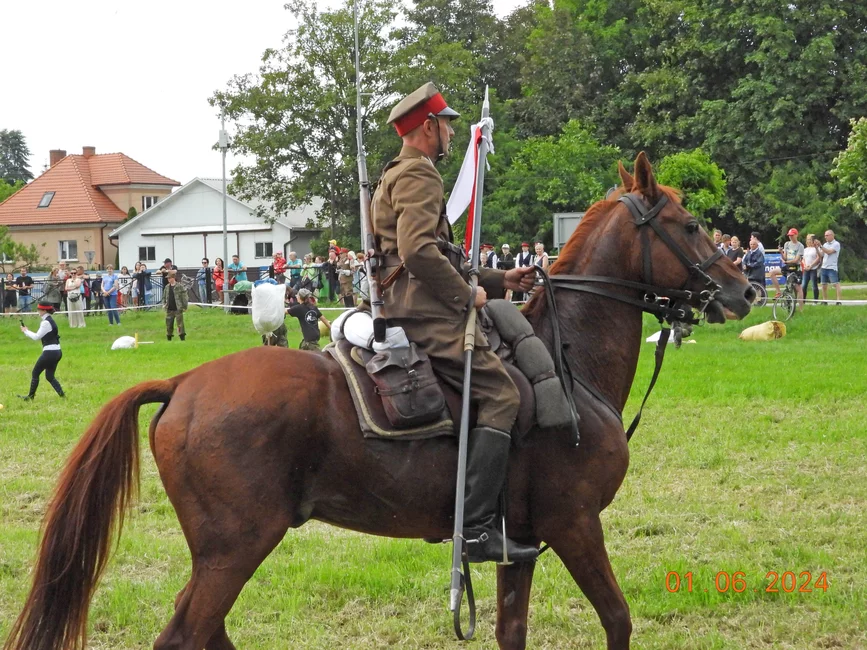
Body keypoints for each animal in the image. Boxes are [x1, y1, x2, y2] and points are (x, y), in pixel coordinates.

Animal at [4, 153, 754, 650]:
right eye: (689, 224)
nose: (742, 290)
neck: (568, 357)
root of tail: (185, 382)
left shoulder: (522, 543)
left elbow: (513, 631)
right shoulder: (573, 525)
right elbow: (617, 618)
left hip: (222, 553)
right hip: (235, 548)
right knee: (187, 636)